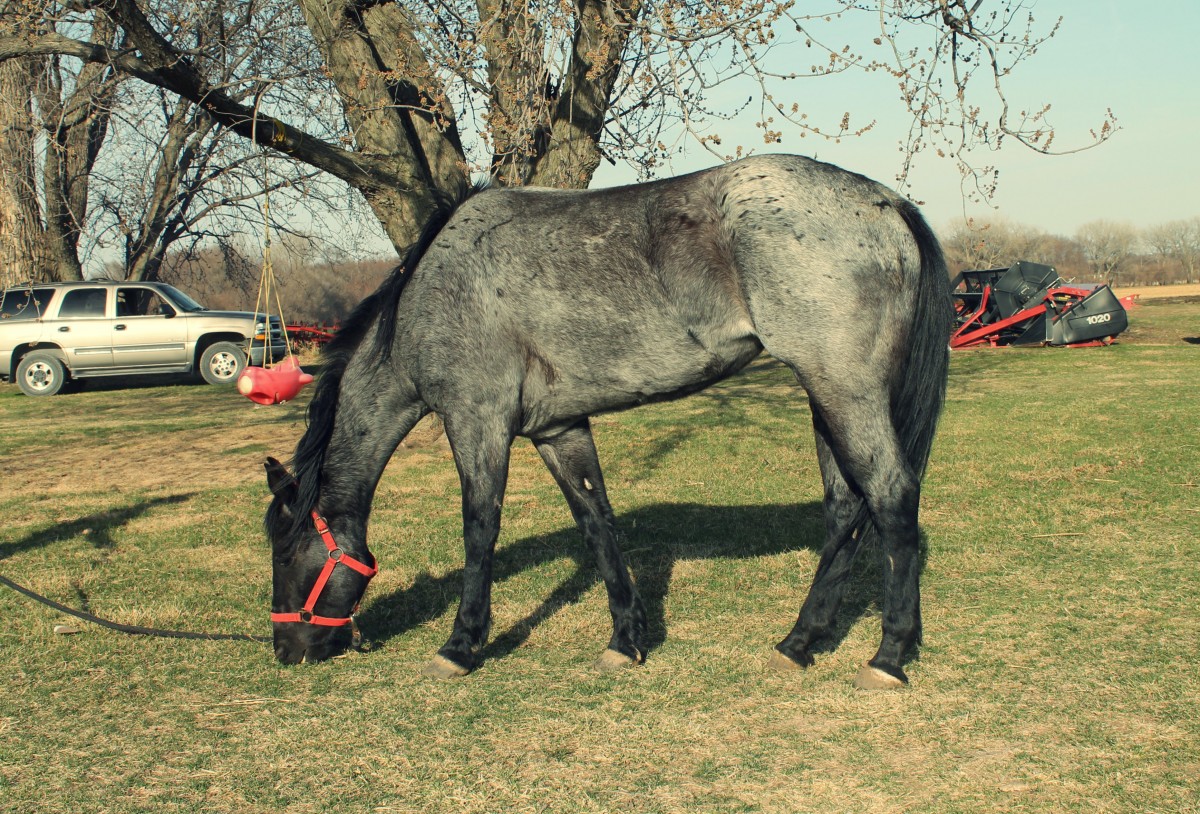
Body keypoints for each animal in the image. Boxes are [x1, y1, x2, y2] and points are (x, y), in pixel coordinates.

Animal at [267, 153, 950, 686]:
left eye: (284, 547)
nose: (286, 649)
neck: (432, 294)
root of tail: (887, 202)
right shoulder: (557, 429)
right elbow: (596, 522)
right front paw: (626, 640)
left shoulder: (476, 420)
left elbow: (479, 528)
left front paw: (461, 646)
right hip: (827, 398)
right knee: (846, 507)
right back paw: (799, 643)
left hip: (844, 391)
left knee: (890, 496)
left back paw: (888, 657)